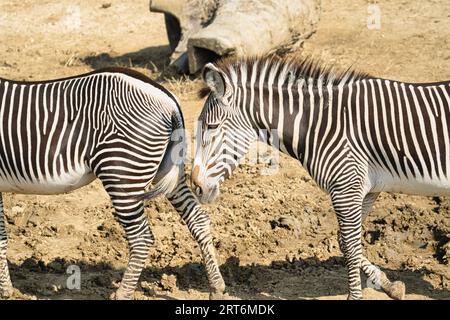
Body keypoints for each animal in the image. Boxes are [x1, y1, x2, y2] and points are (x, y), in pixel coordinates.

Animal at [0, 68, 225, 300]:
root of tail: (169, 100)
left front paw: (5, 291)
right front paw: (6, 290)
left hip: (121, 173)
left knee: (141, 238)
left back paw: (122, 293)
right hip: (166, 172)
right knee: (197, 219)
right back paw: (216, 287)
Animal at [191, 57, 450, 300]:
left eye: (211, 126)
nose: (197, 187)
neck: (321, 125)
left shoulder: (345, 188)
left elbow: (351, 245)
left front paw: (355, 296)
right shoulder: (364, 188)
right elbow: (345, 241)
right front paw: (389, 285)